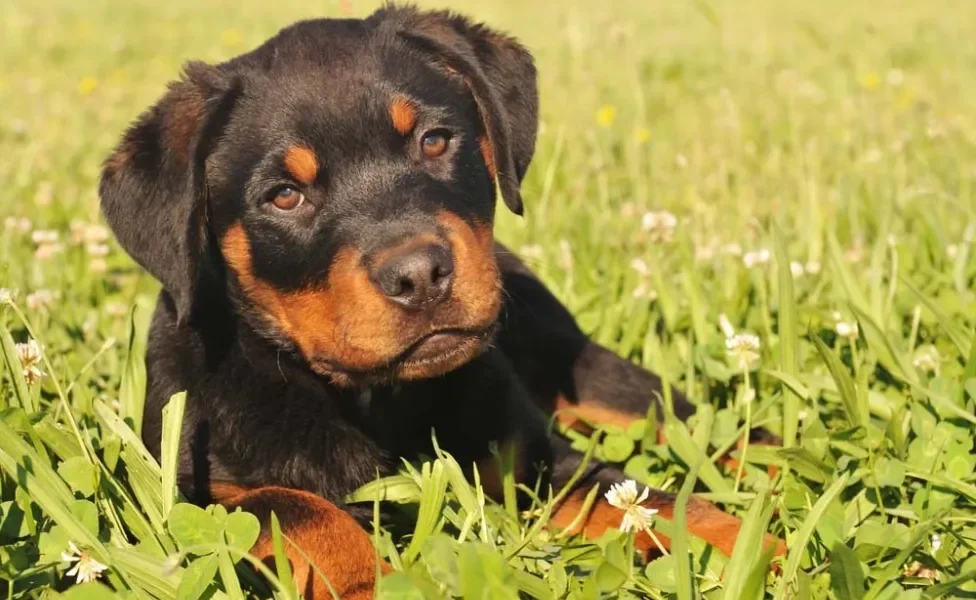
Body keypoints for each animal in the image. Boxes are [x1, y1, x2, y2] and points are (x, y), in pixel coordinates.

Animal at [99, 5, 780, 600]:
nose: (419, 275)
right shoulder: (197, 486)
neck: (377, 399)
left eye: (434, 141)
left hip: (582, 364)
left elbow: (656, 501)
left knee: (700, 424)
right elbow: (303, 511)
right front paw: (370, 584)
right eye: (285, 195)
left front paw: (760, 553)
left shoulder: (535, 459)